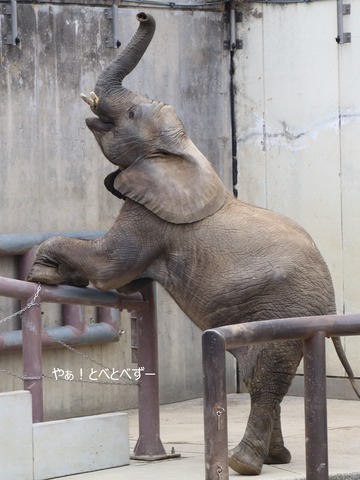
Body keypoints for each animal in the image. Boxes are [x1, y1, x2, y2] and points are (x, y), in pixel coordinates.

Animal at [26, 12, 360, 476]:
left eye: (131, 112)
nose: (142, 14)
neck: (181, 149)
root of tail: (330, 298)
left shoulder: (149, 214)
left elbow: (111, 266)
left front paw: (40, 268)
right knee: (258, 373)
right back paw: (275, 458)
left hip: (288, 304)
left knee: (265, 375)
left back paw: (242, 463)